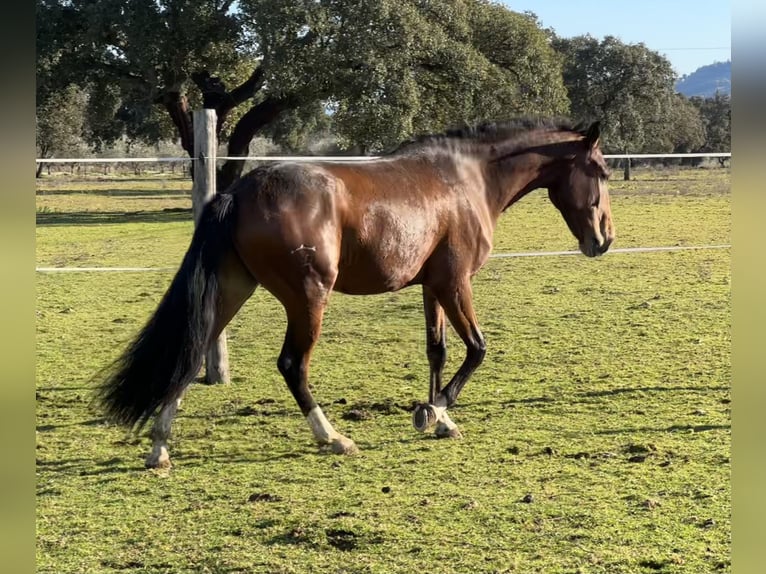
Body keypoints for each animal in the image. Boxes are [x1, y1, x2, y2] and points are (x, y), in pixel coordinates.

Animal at [94, 118, 616, 472]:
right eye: (601, 171)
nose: (604, 239)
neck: (468, 179)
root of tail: (238, 191)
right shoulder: (456, 282)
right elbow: (477, 349)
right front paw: (432, 411)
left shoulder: (432, 286)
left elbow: (438, 352)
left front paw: (440, 419)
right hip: (308, 297)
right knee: (292, 365)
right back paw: (333, 437)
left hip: (233, 290)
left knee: (192, 350)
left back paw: (159, 448)